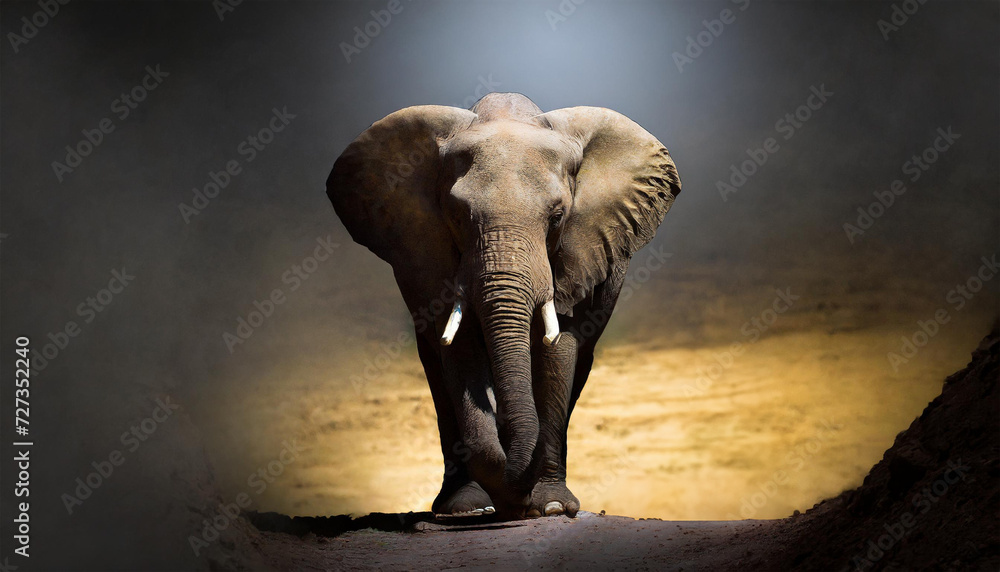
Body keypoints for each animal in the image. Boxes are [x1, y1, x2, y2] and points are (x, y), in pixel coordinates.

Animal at [326, 92, 681, 519]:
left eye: (558, 217)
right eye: (456, 216)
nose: (518, 502)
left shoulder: (578, 252)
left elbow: (559, 348)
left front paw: (552, 506)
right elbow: (459, 348)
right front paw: (484, 504)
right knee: (435, 369)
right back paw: (464, 507)